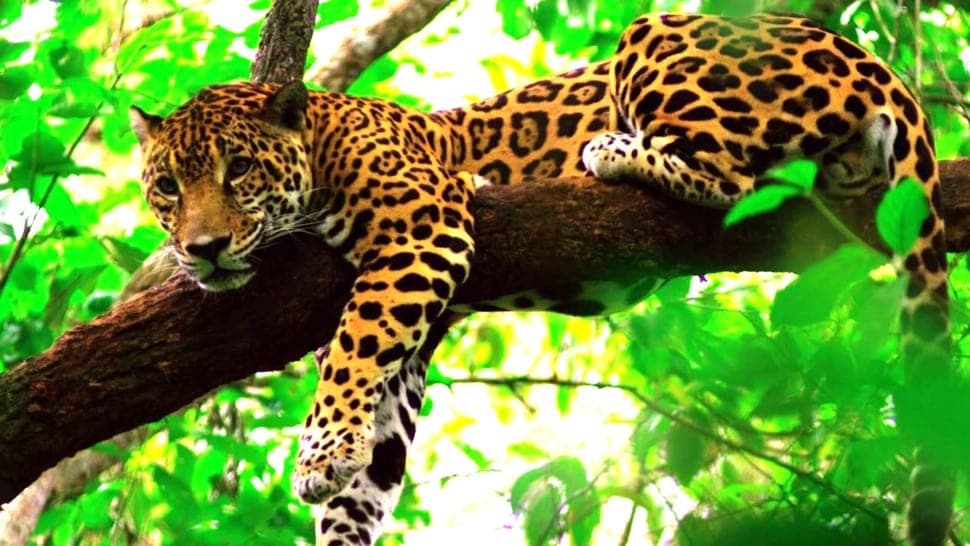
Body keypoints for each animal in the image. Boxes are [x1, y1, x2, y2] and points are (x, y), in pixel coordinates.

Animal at [129, 12, 950, 546]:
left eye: (239, 170)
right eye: (167, 186)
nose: (203, 248)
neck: (325, 142)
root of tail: (872, 61)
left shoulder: (421, 229)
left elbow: (353, 353)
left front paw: (321, 453)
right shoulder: (415, 325)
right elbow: (373, 444)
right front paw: (342, 479)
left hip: (655, 38)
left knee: (731, 177)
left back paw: (611, 152)